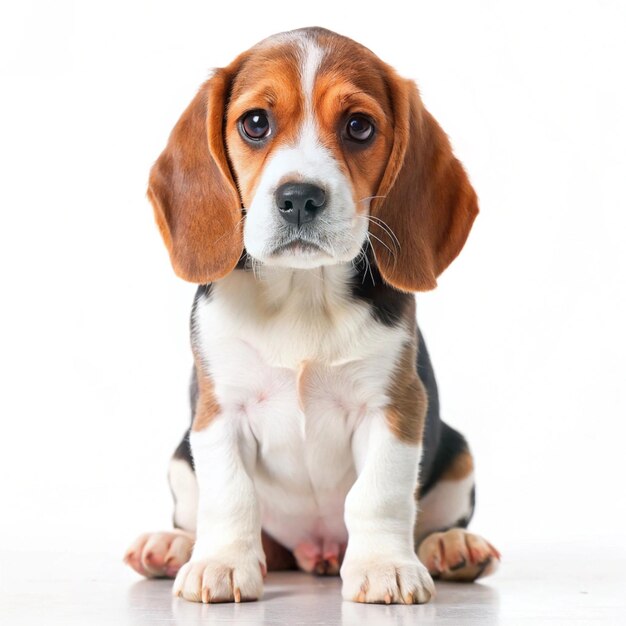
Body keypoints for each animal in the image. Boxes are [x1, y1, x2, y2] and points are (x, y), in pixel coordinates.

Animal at [124, 26, 500, 604]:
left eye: (359, 126)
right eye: (256, 123)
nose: (300, 197)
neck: (303, 292)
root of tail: (312, 551)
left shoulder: (395, 405)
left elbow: (379, 494)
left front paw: (386, 566)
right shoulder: (218, 409)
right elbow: (230, 493)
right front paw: (221, 564)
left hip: (459, 453)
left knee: (432, 521)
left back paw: (452, 547)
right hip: (180, 458)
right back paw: (171, 546)